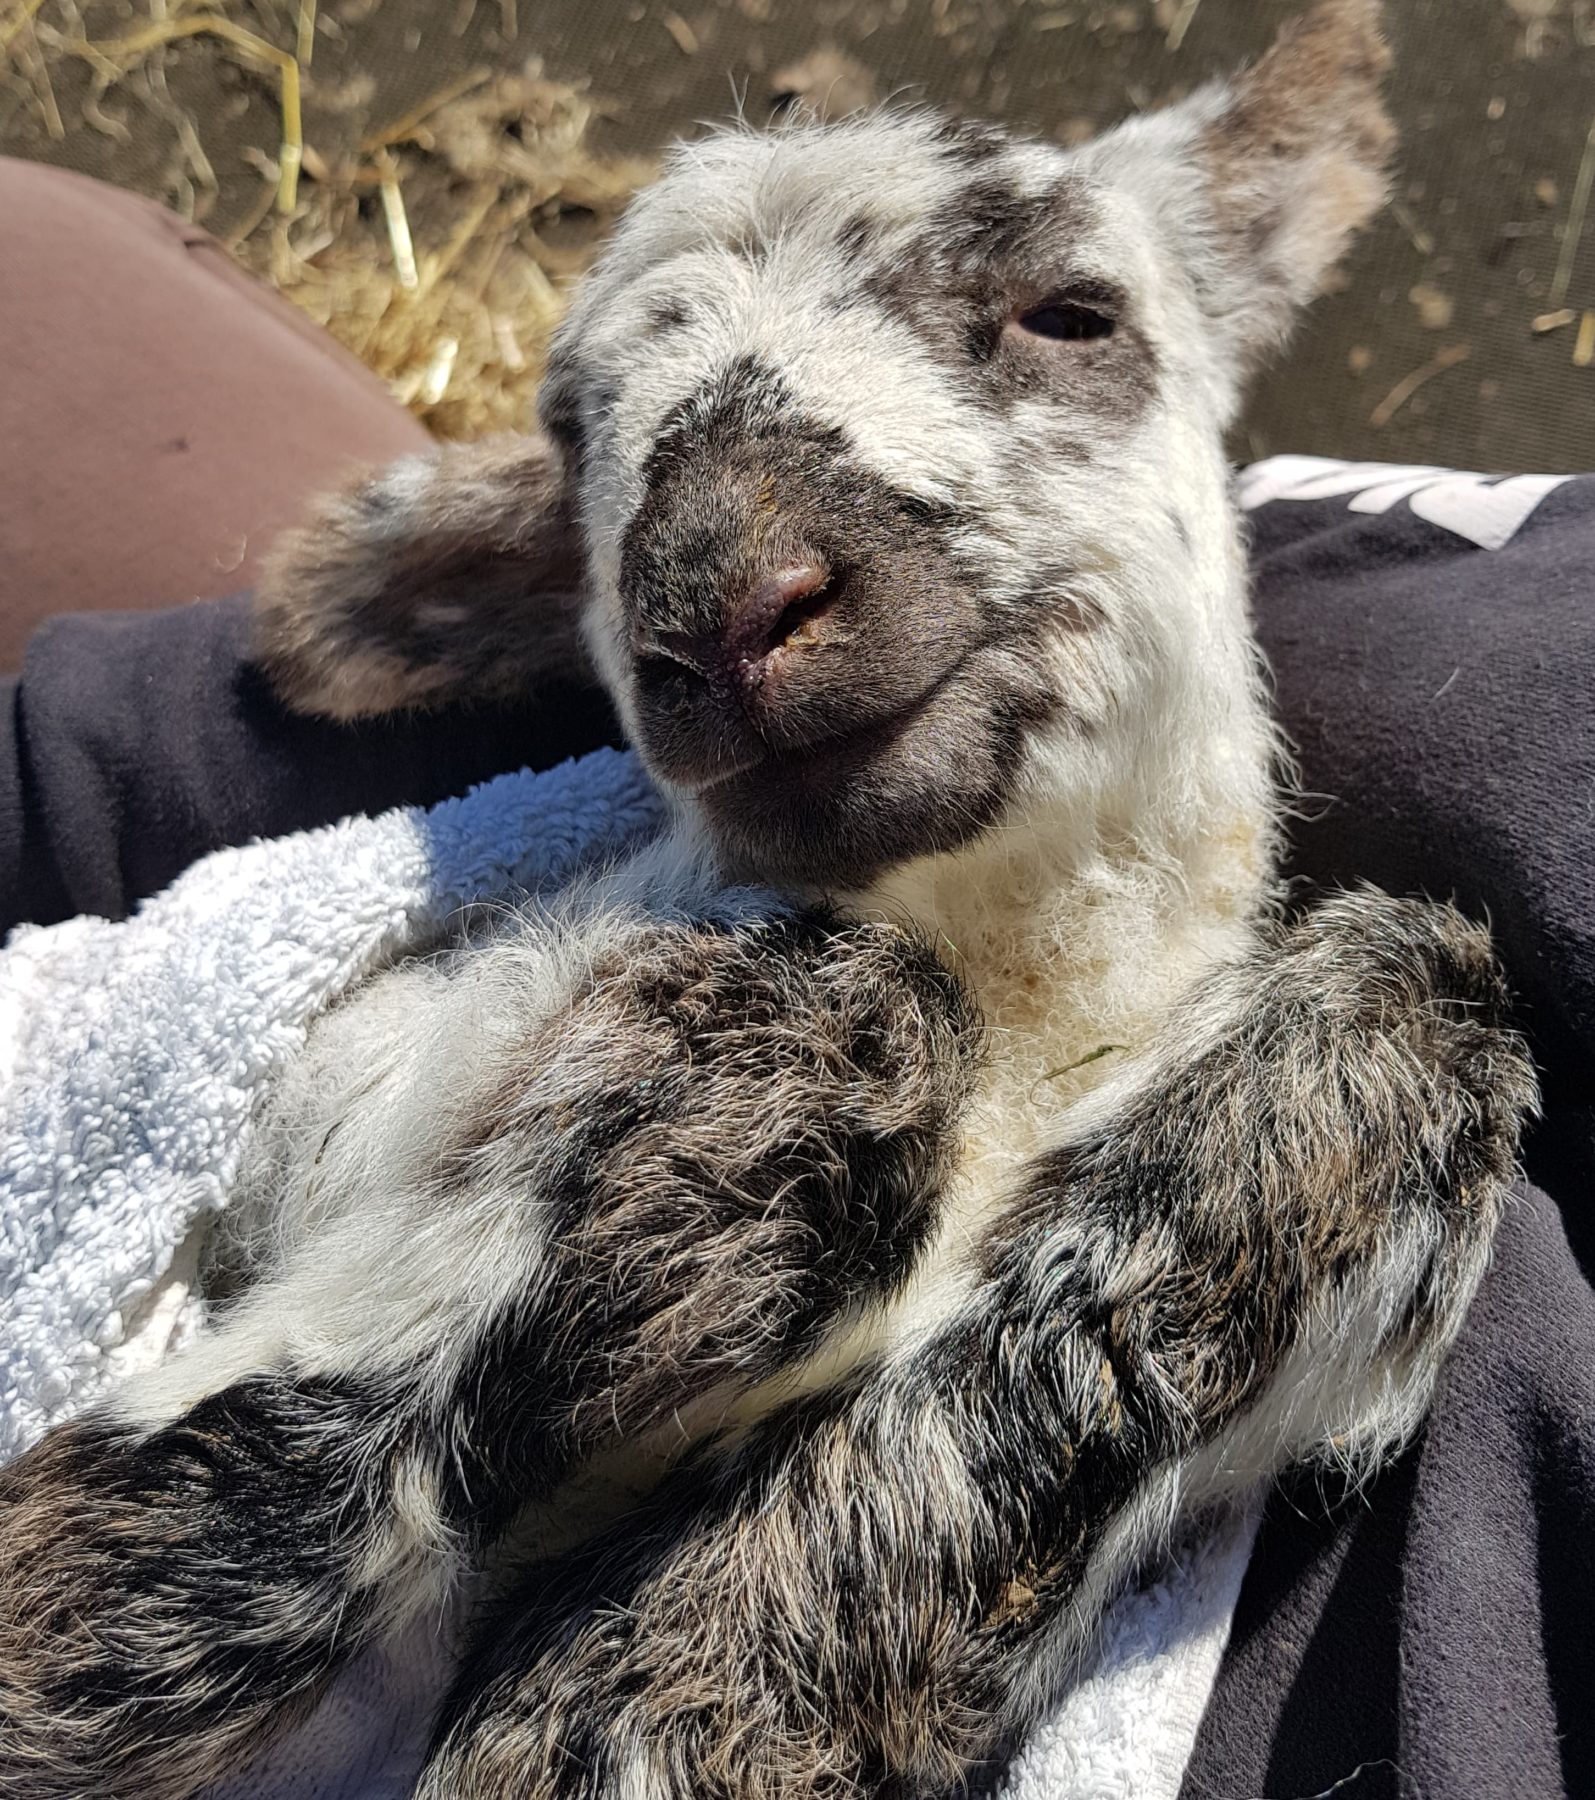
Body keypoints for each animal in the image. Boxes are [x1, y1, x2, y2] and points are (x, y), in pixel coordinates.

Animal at [0, 5, 1538, 1797]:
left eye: (1070, 311)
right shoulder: (327, 1116)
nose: (722, 602)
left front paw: (658, 1681)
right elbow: (209, 1492)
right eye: (574, 438)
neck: (1020, 1010)